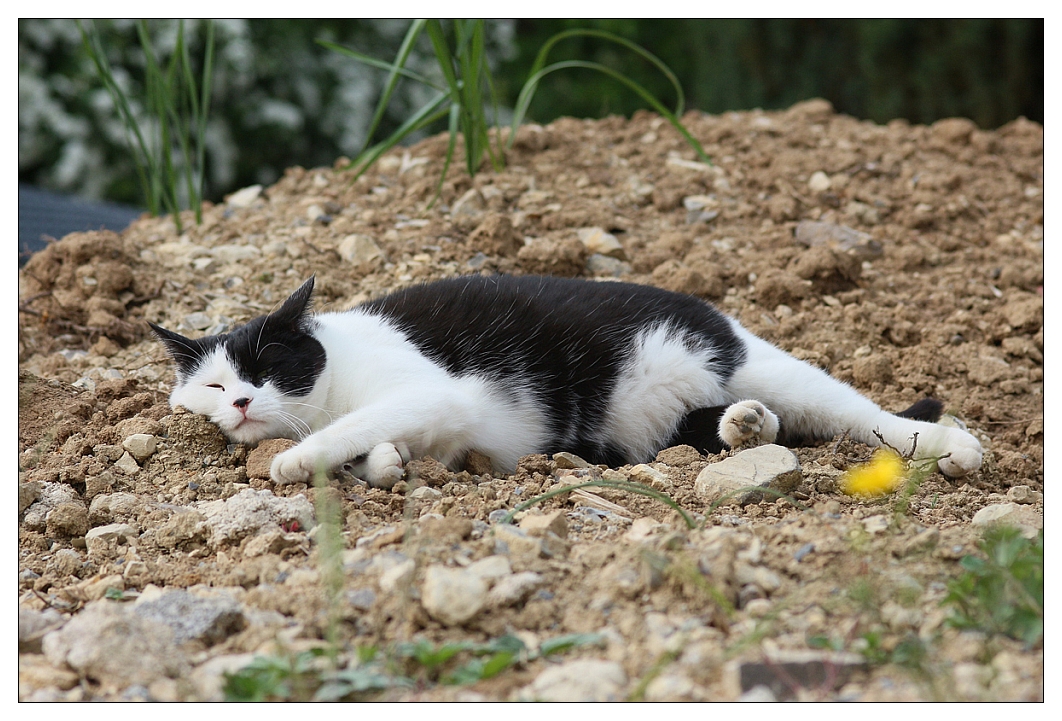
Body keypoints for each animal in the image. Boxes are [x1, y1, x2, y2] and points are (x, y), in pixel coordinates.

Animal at [147, 276, 977, 490]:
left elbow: (345, 428)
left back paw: (950, 445)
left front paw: (294, 457)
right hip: (655, 426)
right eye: (213, 387)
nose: (242, 402)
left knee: (861, 412)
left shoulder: (429, 391)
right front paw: (385, 463)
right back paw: (746, 425)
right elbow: (381, 448)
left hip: (765, 361)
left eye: (265, 368)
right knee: (737, 423)